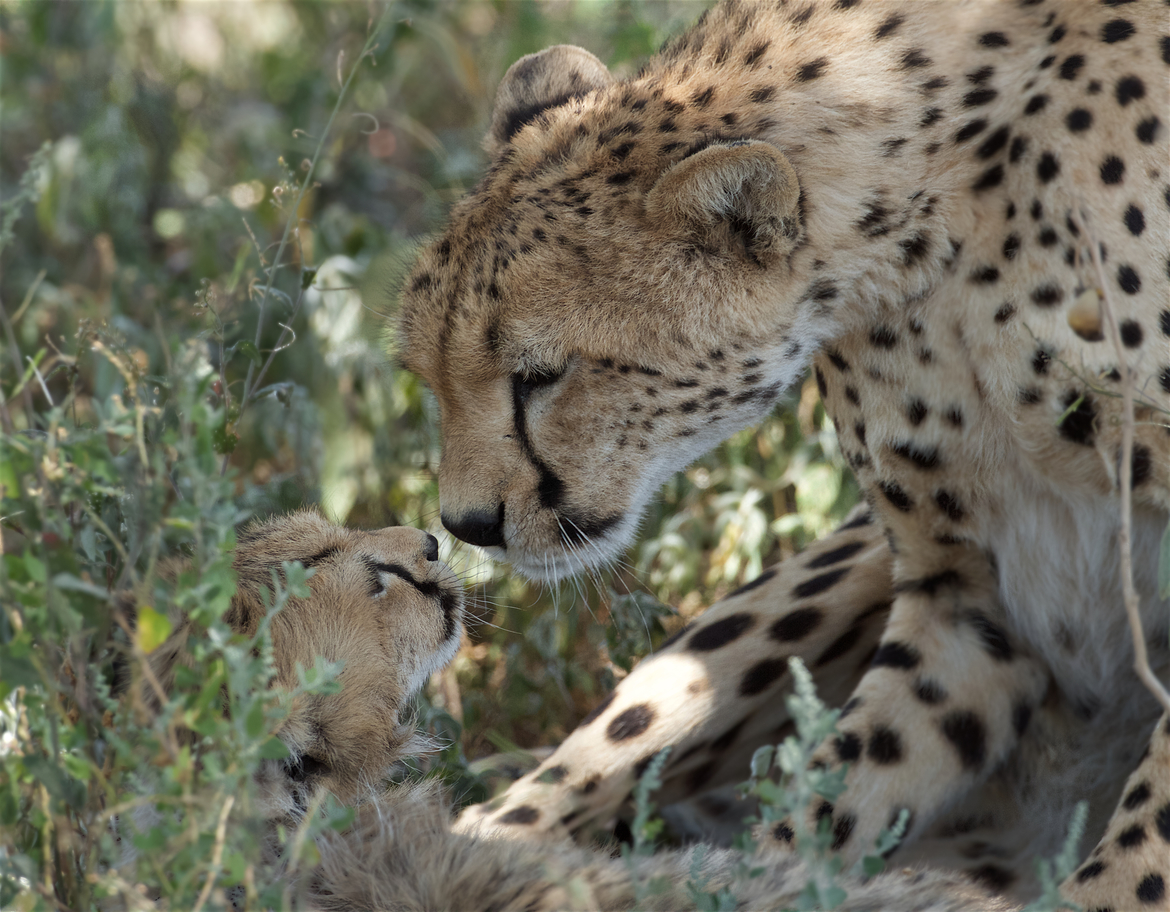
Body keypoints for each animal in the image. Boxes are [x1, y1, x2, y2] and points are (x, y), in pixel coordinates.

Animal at [396, 0, 1170, 906]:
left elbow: (1139, 851)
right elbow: (832, 797)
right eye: (427, 376)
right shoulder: (965, 597)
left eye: (539, 376)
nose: (466, 524)